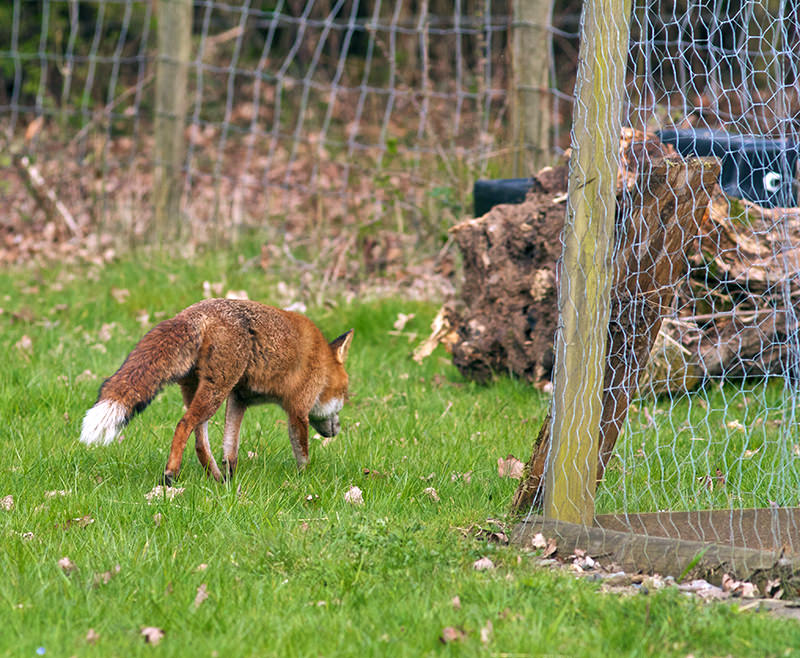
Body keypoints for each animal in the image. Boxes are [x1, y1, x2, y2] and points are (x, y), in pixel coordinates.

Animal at [79, 298, 353, 484]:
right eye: (345, 396)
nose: (337, 430)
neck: (322, 363)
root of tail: (193, 312)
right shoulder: (297, 409)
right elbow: (302, 451)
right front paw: (304, 479)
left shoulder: (239, 399)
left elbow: (230, 448)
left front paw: (231, 477)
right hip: (215, 391)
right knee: (184, 424)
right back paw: (170, 475)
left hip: (202, 392)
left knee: (200, 442)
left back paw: (217, 479)